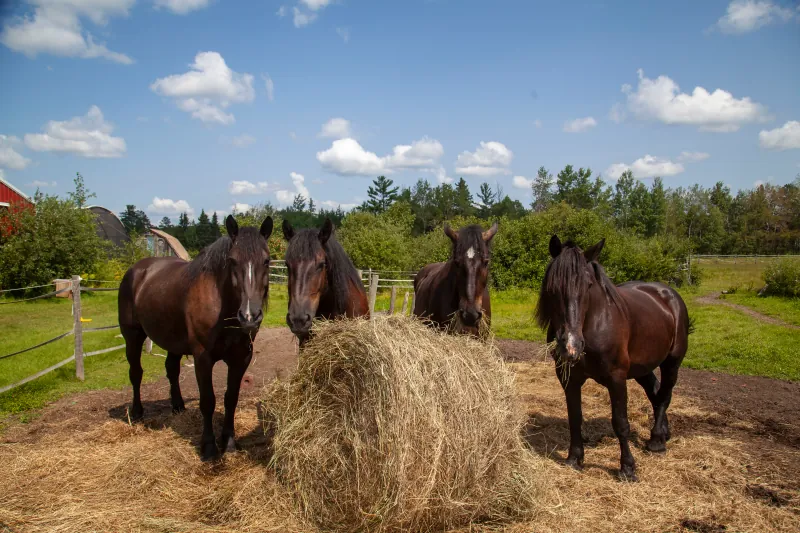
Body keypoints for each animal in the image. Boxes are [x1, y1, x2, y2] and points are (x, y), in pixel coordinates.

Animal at [118, 215, 273, 461]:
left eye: (266, 261)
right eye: (232, 260)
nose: (250, 316)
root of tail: (137, 270)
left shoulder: (241, 358)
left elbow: (231, 398)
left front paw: (229, 442)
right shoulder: (202, 358)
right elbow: (208, 401)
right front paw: (209, 448)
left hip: (172, 341)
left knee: (171, 369)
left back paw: (178, 406)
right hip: (132, 336)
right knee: (136, 373)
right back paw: (137, 413)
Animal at [535, 235, 691, 481]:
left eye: (588, 285)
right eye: (553, 286)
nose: (571, 345)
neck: (594, 325)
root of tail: (668, 293)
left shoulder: (616, 378)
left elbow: (620, 423)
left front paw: (627, 468)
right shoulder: (569, 379)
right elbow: (574, 418)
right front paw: (574, 459)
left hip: (672, 362)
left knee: (665, 395)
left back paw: (657, 441)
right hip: (642, 368)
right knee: (655, 393)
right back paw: (663, 433)